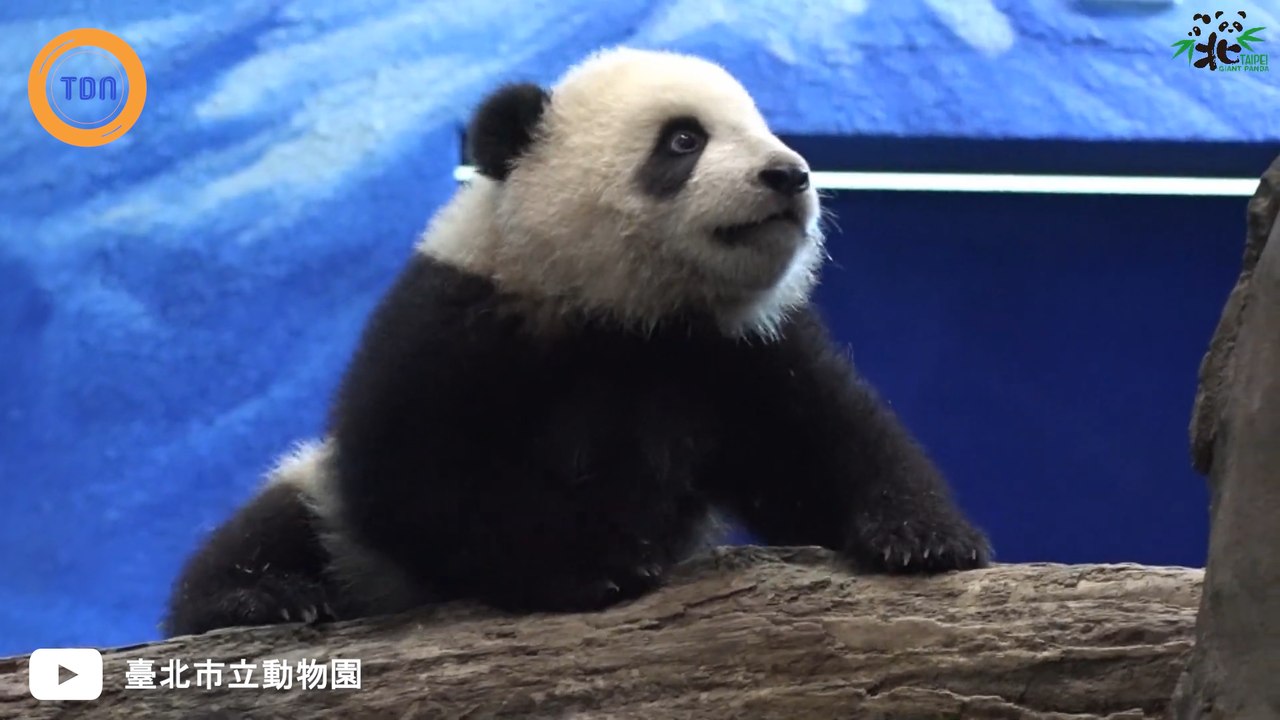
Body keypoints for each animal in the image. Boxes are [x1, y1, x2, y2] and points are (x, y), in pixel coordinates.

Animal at [162, 46, 992, 637]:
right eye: (684, 139)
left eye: (761, 127)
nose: (788, 174)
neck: (628, 307)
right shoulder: (466, 318)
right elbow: (415, 470)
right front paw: (597, 562)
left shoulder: (733, 348)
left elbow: (817, 443)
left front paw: (924, 537)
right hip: (331, 521)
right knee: (282, 521)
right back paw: (262, 596)